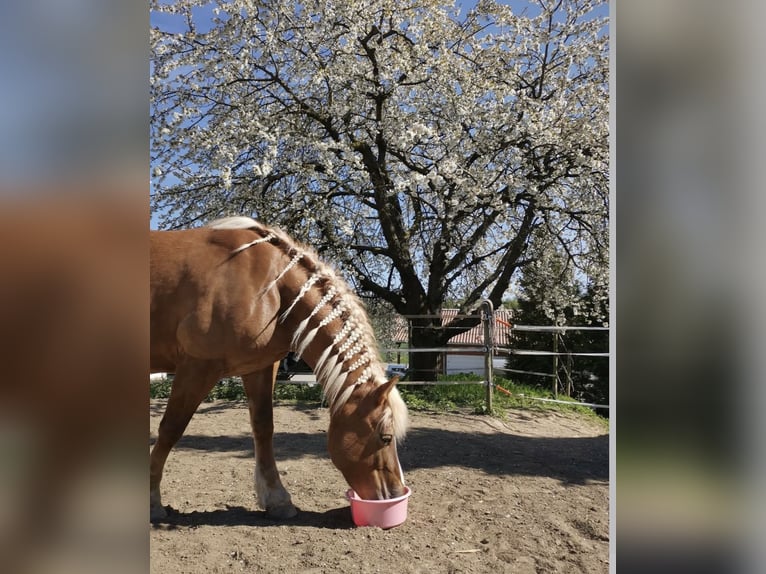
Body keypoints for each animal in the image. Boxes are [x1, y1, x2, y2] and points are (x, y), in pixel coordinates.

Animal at [152, 217, 412, 520]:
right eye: (386, 437)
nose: (395, 493)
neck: (270, 285)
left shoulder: (260, 367)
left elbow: (263, 428)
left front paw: (277, 499)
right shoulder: (197, 367)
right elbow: (171, 428)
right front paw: (153, 501)